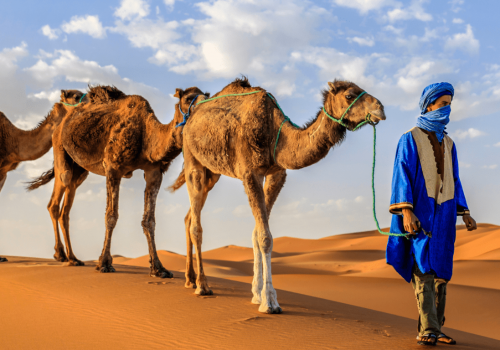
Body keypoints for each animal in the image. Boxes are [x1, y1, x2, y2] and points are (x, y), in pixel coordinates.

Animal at [27, 85, 209, 276]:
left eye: (207, 95)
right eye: (188, 99)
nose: (205, 106)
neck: (146, 135)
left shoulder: (154, 172)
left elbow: (149, 220)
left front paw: (159, 268)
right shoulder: (113, 168)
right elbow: (111, 215)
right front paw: (104, 263)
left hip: (80, 169)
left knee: (66, 206)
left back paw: (73, 258)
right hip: (60, 148)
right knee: (57, 196)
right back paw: (60, 255)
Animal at [172, 78, 386, 314]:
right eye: (349, 95)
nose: (380, 108)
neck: (275, 132)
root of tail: (190, 118)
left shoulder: (276, 174)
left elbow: (256, 234)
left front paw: (256, 294)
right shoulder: (251, 173)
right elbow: (265, 237)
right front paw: (270, 302)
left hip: (214, 172)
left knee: (189, 216)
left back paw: (190, 279)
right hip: (193, 160)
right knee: (196, 224)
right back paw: (202, 285)